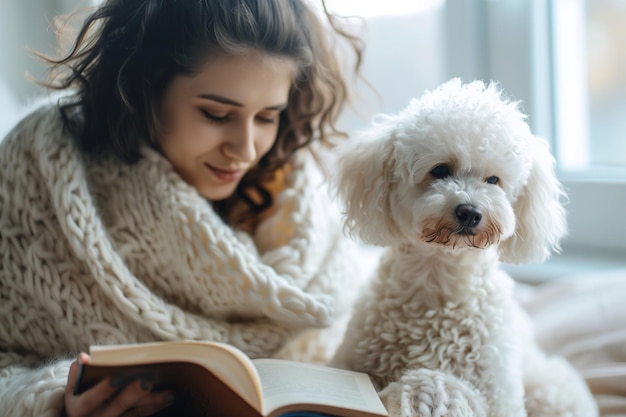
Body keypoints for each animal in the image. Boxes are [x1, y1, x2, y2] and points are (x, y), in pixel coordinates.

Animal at [332, 79, 596, 416]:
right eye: (440, 170)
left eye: (493, 180)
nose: (470, 212)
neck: (438, 279)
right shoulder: (349, 361)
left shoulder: (501, 399)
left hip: (552, 390)